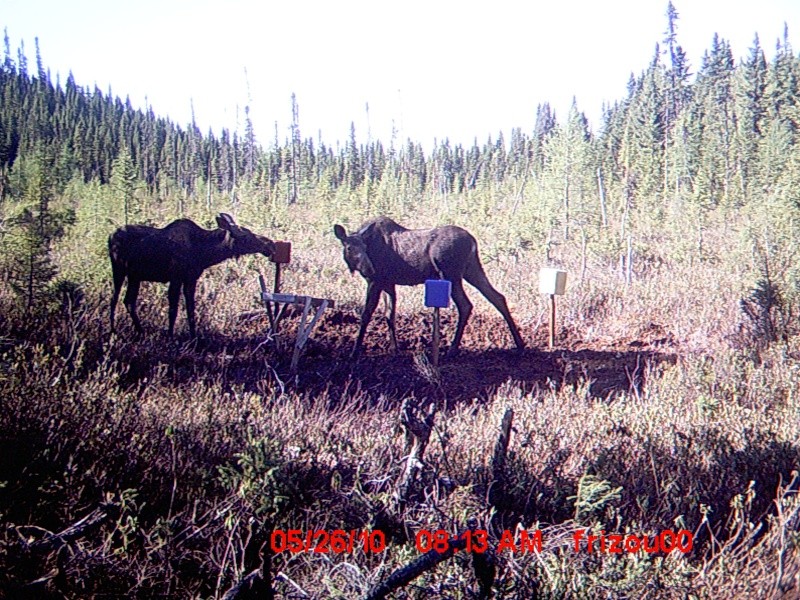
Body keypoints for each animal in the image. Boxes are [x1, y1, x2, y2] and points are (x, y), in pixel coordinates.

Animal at [108, 212, 276, 336]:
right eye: (245, 235)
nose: (270, 244)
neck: (202, 253)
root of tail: (110, 236)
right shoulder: (175, 277)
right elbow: (173, 310)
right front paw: (170, 336)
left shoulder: (191, 279)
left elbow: (190, 309)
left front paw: (194, 336)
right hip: (119, 270)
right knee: (114, 299)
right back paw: (113, 331)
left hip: (134, 276)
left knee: (129, 301)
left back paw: (140, 331)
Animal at [332, 216, 524, 356]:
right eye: (349, 248)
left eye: (364, 248)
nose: (369, 268)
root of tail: (473, 241)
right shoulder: (388, 283)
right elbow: (389, 315)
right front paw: (394, 350)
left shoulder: (375, 281)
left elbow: (366, 314)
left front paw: (354, 352)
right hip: (472, 269)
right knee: (497, 297)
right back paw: (520, 344)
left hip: (451, 273)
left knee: (466, 305)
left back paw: (452, 349)